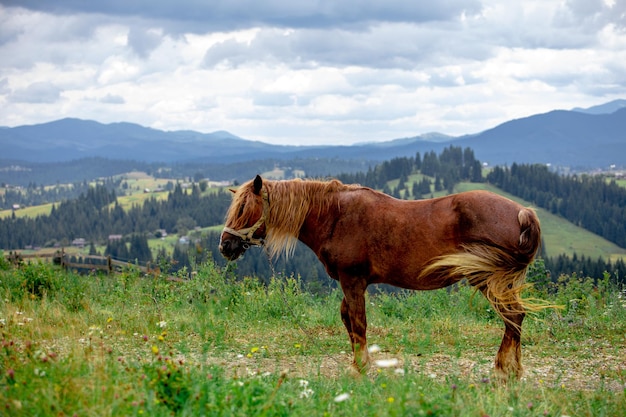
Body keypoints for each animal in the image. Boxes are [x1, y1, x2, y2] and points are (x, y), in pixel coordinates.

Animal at [219, 174, 540, 378]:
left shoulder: (352, 280)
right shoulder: (351, 283)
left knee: (512, 316)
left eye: (245, 207)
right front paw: (359, 363)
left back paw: (503, 369)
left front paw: (360, 368)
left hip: (488, 279)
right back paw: (514, 369)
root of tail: (522, 211)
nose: (225, 246)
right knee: (515, 317)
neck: (335, 215)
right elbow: (347, 319)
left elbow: (358, 322)